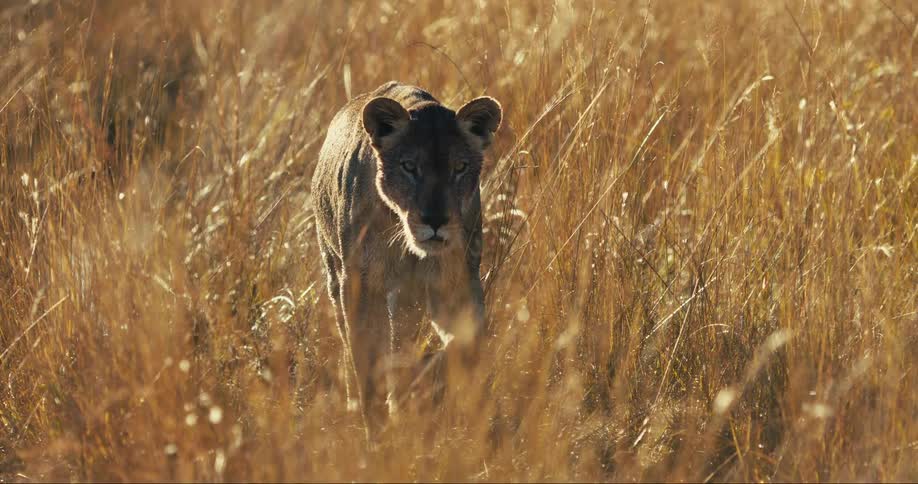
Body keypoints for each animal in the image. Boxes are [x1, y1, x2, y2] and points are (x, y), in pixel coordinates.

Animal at [311, 81, 502, 438]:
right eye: (410, 167)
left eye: (459, 168)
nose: (435, 221)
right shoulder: (360, 286)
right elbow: (367, 361)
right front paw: (377, 427)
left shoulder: (457, 284)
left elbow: (462, 347)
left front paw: (415, 386)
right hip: (335, 273)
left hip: (407, 298)